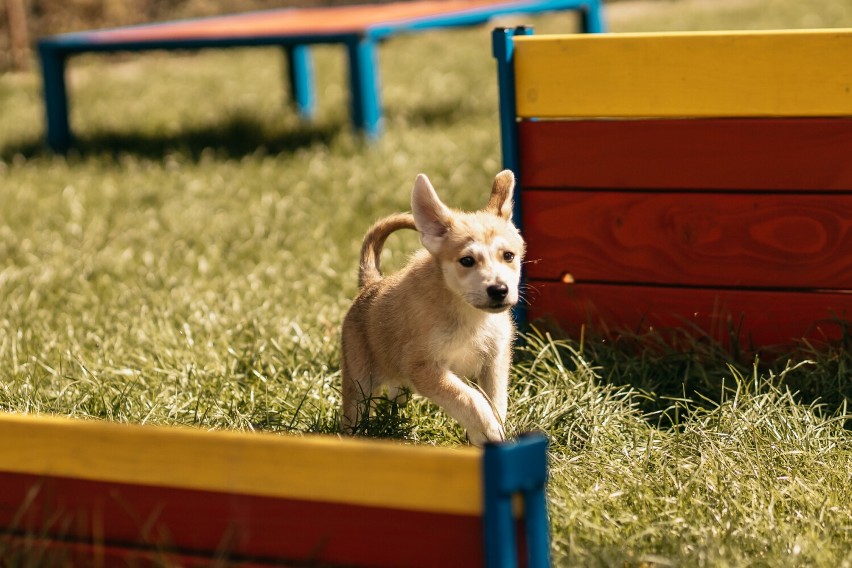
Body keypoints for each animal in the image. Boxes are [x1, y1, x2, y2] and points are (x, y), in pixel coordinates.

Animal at [340, 171, 524, 446]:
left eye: (509, 256)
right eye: (467, 260)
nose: (500, 290)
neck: (470, 316)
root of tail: (370, 284)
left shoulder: (494, 361)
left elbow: (496, 401)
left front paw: (495, 430)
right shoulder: (424, 367)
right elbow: (469, 398)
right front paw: (488, 428)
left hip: (397, 383)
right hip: (358, 383)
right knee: (354, 414)